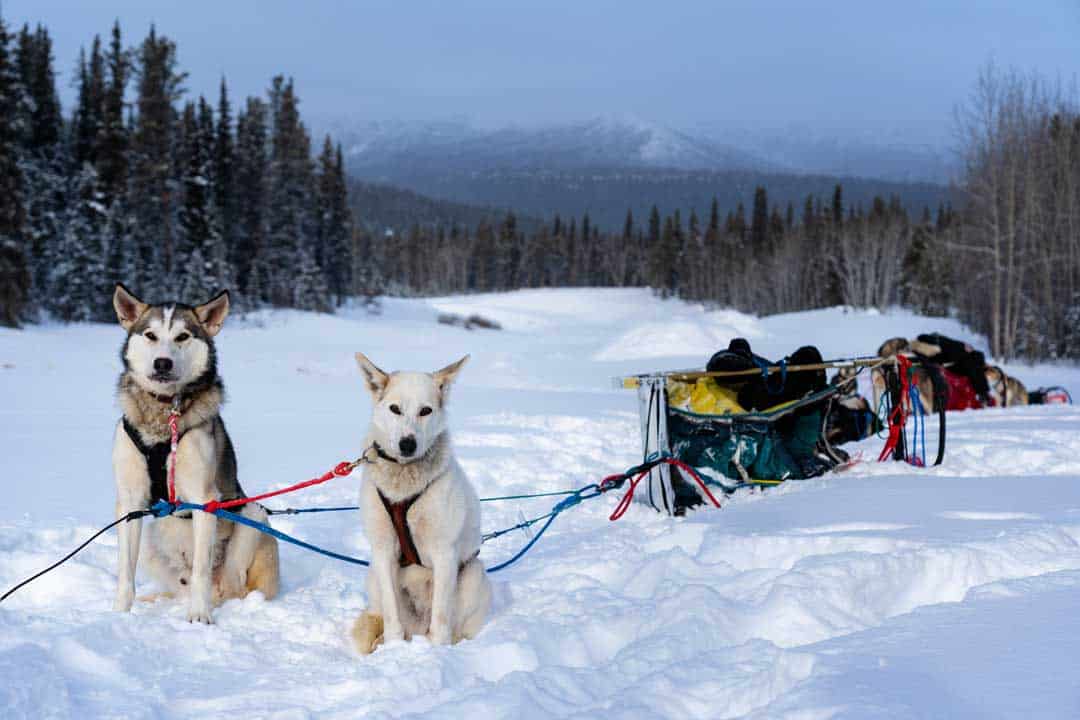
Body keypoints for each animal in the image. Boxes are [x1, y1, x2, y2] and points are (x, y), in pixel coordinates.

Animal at [109, 284, 276, 621]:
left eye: (183, 336)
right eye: (150, 335)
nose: (162, 363)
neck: (164, 414)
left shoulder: (204, 499)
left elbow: (201, 569)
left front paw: (199, 616)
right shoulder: (130, 502)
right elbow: (125, 571)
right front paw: (120, 611)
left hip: (253, 516)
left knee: (229, 586)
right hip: (153, 542)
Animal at [352, 351, 492, 656]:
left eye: (425, 411)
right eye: (394, 409)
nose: (407, 444)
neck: (403, 491)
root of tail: (417, 626)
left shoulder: (444, 553)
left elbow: (440, 621)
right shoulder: (382, 550)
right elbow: (392, 615)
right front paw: (393, 648)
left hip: (473, 574)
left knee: (453, 627)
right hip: (373, 574)